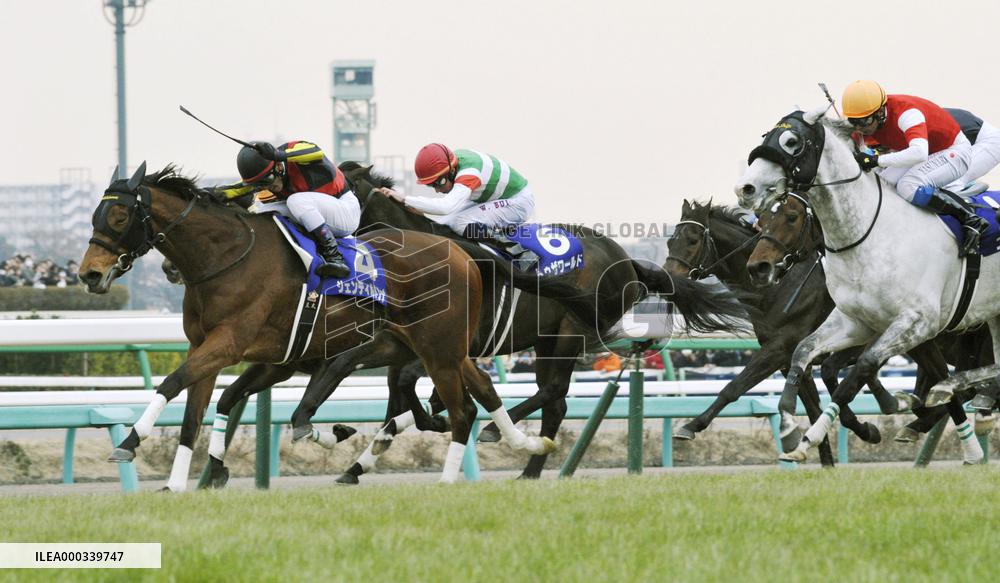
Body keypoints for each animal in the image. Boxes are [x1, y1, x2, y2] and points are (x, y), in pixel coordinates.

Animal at [79, 164, 567, 488]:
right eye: (94, 217)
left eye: (119, 217)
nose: (89, 274)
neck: (225, 257)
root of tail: (463, 254)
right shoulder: (227, 350)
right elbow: (196, 412)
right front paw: (181, 482)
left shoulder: (230, 343)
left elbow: (172, 383)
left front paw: (131, 441)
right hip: (440, 347)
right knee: (483, 390)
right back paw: (527, 446)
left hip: (444, 348)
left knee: (469, 408)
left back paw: (453, 478)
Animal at [664, 200, 893, 464]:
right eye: (670, 242)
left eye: (692, 240)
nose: (668, 281)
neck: (777, 285)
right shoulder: (791, 362)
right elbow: (814, 410)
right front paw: (826, 459)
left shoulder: (780, 348)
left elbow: (733, 387)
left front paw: (690, 426)